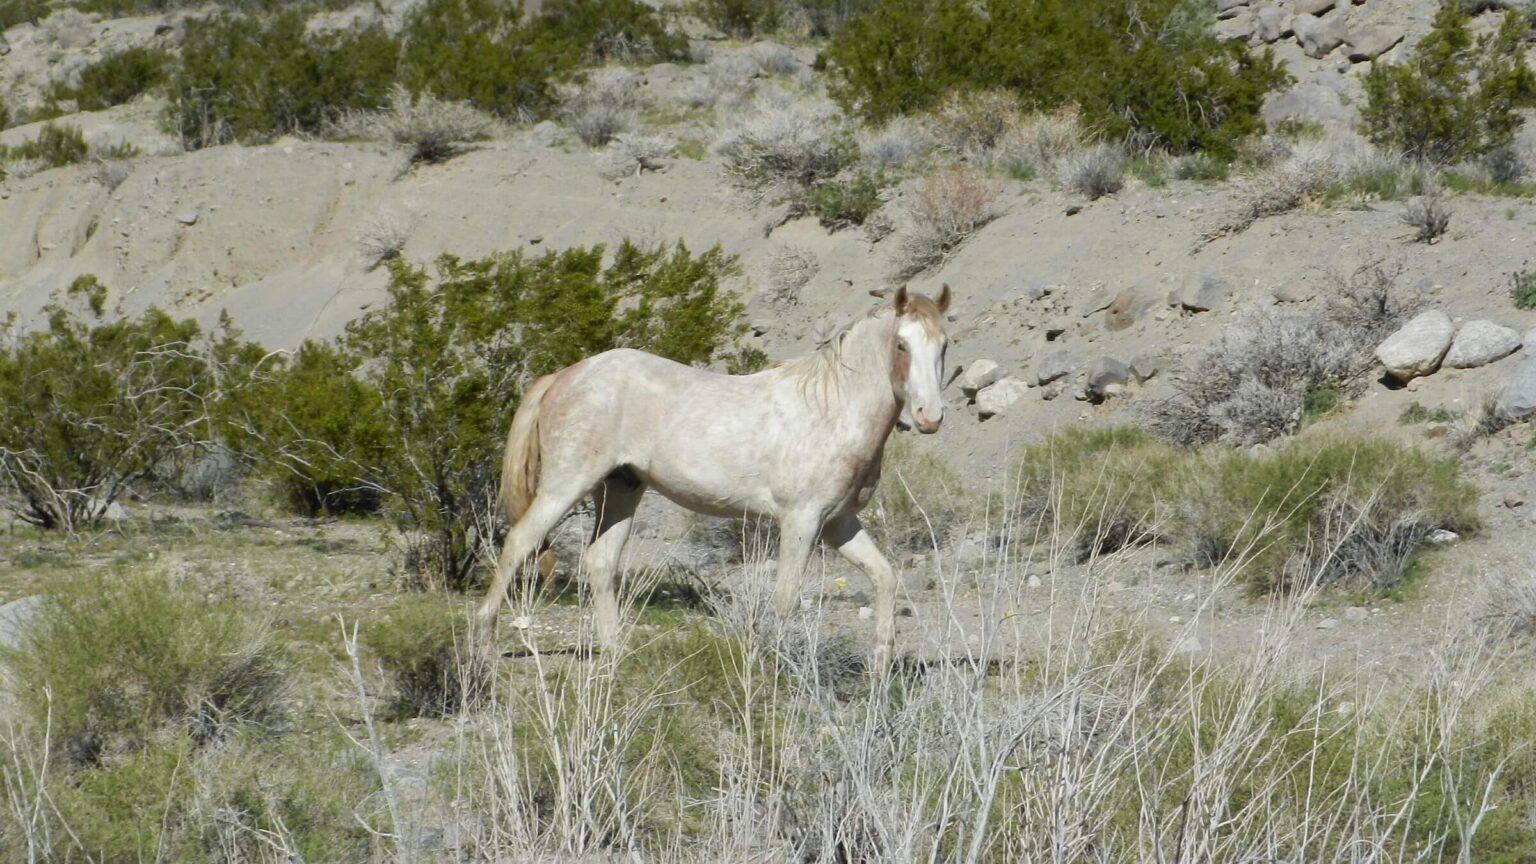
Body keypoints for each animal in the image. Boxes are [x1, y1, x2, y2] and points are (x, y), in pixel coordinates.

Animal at [473, 282, 946, 667]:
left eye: (943, 345)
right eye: (901, 345)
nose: (930, 417)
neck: (833, 410)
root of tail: (563, 375)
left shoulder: (839, 524)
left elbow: (885, 579)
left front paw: (881, 667)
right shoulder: (801, 521)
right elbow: (787, 599)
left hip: (620, 489)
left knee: (600, 563)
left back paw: (616, 652)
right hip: (565, 485)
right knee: (518, 543)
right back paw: (486, 646)